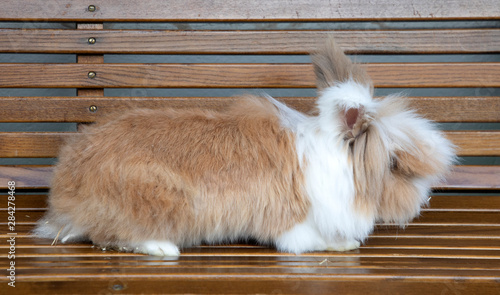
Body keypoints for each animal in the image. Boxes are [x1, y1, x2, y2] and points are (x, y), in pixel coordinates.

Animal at [34, 37, 458, 256]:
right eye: (396, 165)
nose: (425, 200)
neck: (336, 160)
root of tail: (64, 192)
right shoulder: (294, 220)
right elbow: (306, 241)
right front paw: (344, 244)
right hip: (152, 199)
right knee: (112, 236)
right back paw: (165, 249)